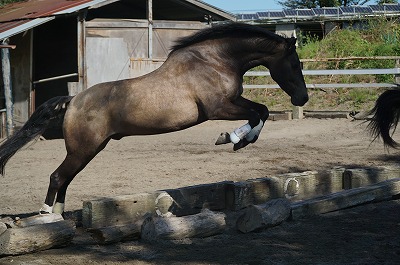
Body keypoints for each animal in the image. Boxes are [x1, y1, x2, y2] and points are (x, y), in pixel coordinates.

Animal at [0, 21, 308, 213]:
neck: (216, 60)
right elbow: (255, 115)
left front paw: (240, 140)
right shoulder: (218, 108)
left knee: (65, 179)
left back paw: (59, 216)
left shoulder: (232, 102)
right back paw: (45, 214)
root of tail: (73, 100)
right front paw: (230, 138)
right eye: (295, 63)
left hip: (88, 150)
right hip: (82, 149)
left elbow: (262, 111)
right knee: (57, 177)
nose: (302, 99)